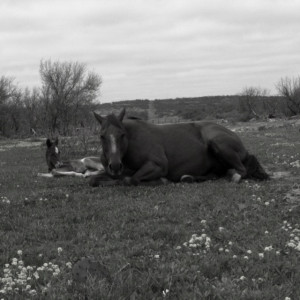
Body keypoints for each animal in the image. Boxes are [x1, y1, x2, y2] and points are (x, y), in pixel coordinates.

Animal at [89, 109, 270, 186]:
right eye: (102, 136)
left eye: (122, 135)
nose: (115, 166)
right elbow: (93, 180)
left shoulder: (158, 165)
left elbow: (130, 179)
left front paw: (161, 180)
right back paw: (188, 177)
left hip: (218, 144)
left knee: (241, 170)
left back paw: (234, 176)